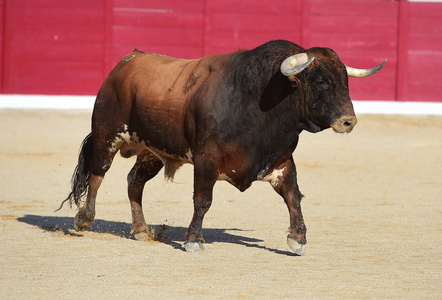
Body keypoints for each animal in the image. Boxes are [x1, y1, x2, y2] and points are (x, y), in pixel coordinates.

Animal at [60, 39, 386, 254]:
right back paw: (84, 220)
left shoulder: (281, 160)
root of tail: (123, 64)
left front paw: (297, 239)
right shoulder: (206, 161)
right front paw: (194, 240)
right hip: (107, 133)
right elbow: (203, 200)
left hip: (153, 151)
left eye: (345, 81)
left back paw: (141, 231)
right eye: (319, 81)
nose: (348, 121)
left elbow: (293, 197)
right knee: (98, 174)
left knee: (134, 182)